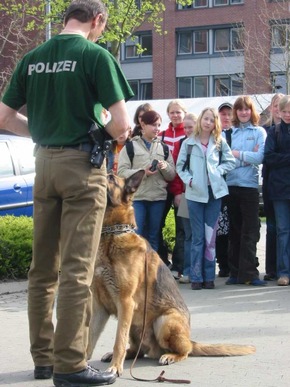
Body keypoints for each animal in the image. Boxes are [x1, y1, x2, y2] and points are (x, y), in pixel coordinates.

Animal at [87, 171, 255, 376]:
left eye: (111, 178)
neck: (112, 234)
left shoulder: (125, 302)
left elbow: (119, 339)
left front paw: (114, 368)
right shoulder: (99, 307)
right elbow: (89, 339)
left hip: (164, 321)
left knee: (185, 351)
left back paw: (170, 356)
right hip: (137, 326)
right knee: (137, 350)